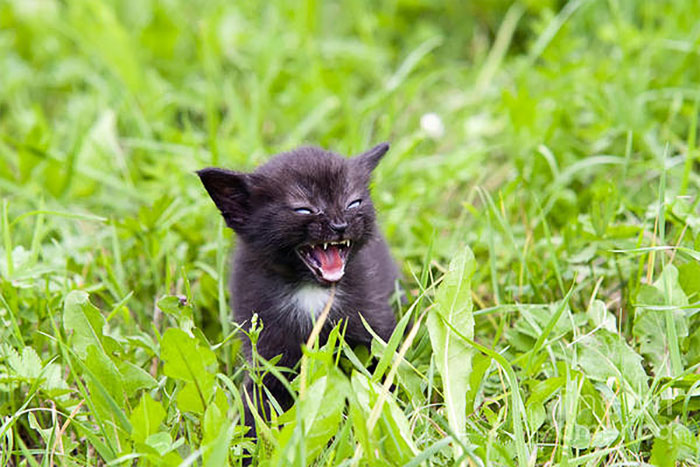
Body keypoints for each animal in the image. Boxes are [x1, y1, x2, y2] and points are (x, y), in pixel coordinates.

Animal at [197, 144, 400, 438]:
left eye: (353, 203)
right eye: (304, 209)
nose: (340, 225)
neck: (311, 291)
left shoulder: (376, 324)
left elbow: (386, 372)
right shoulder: (268, 352)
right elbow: (259, 399)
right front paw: (248, 440)